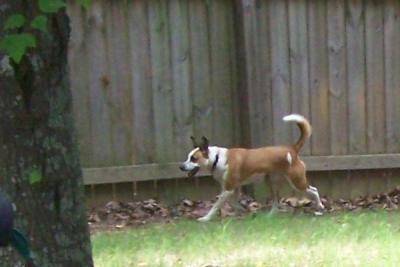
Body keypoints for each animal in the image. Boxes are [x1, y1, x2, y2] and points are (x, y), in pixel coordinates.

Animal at [180, 114, 324, 222]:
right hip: (272, 182)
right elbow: (232, 203)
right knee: (276, 202)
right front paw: (242, 212)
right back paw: (269, 217)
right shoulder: (231, 189)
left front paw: (205, 218)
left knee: (314, 190)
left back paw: (320, 206)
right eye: (187, 157)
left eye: (193, 158)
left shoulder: (228, 189)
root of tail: (292, 148)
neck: (217, 157)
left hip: (296, 181)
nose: (181, 167)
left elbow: (216, 206)